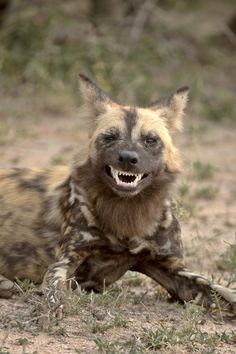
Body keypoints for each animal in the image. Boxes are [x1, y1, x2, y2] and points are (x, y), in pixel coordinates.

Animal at [0, 74, 235, 318]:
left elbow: (222, 291)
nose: (128, 158)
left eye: (150, 140)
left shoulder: (174, 270)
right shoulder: (65, 261)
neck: (127, 216)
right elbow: (55, 288)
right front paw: (53, 308)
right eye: (110, 137)